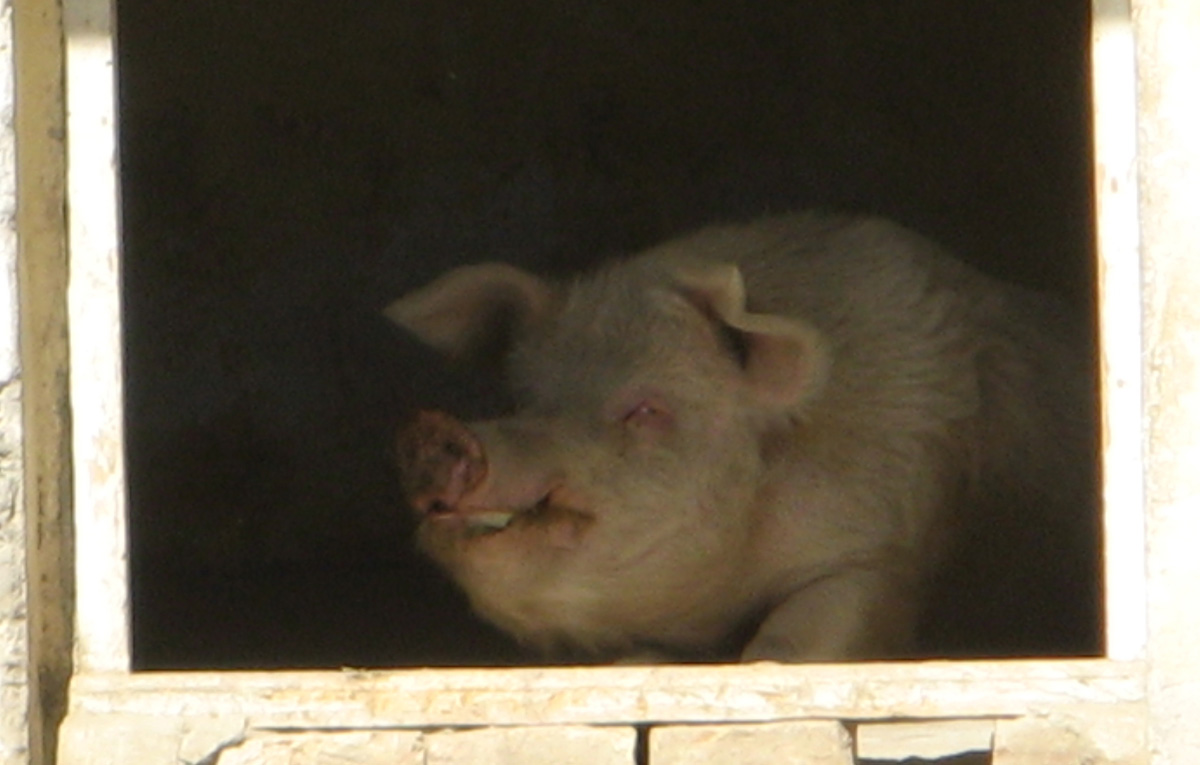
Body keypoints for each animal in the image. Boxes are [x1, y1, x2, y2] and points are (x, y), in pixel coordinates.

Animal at [386, 211, 1098, 663]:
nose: (435, 433)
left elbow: (801, 636)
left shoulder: (888, 553)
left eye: (646, 408)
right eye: (523, 399)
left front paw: (762, 661)